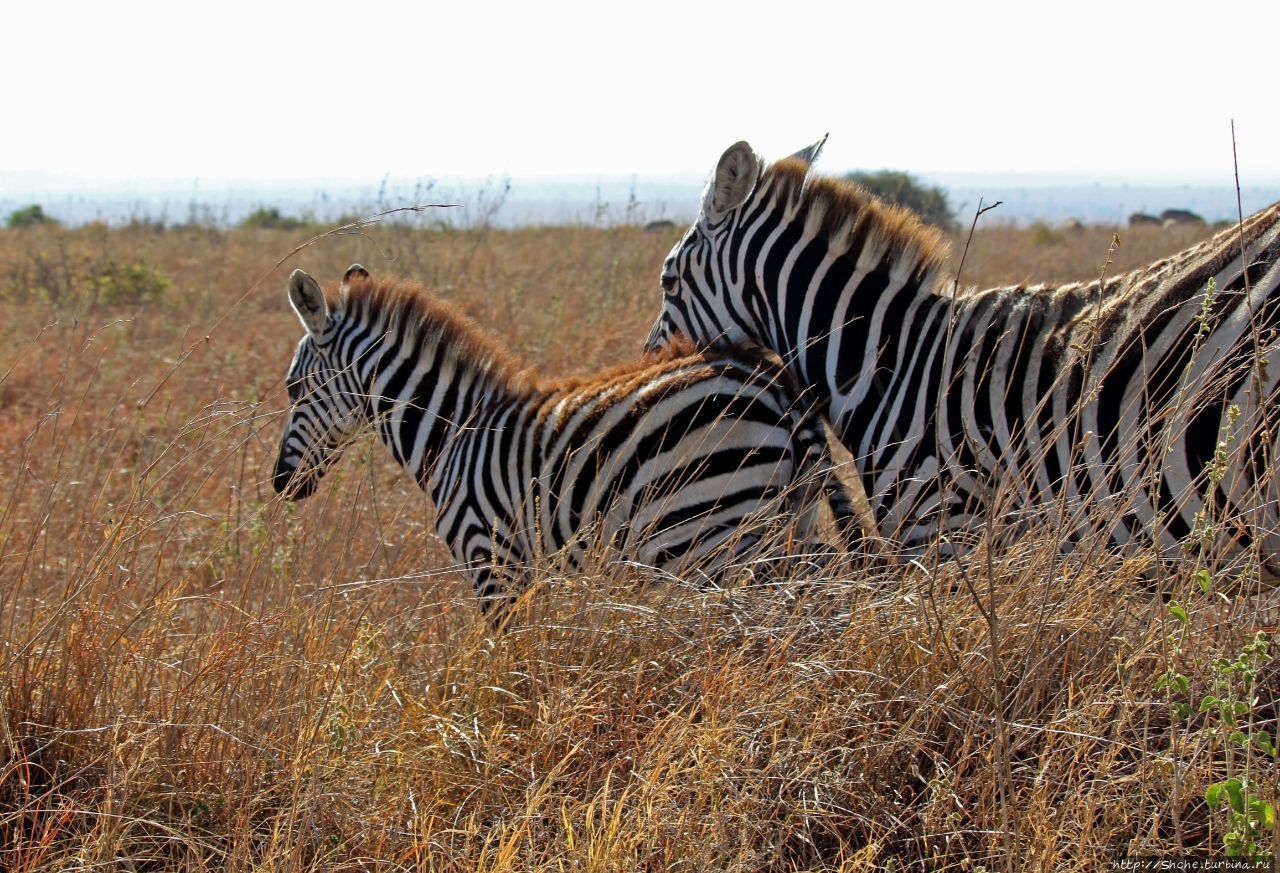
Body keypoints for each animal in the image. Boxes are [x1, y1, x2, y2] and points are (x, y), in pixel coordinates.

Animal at [271, 262, 855, 614]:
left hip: (712, 534)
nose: (280, 484)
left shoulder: (492, 561)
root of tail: (775, 382)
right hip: (785, 519)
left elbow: (505, 659)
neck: (453, 433)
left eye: (293, 388)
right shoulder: (533, 572)